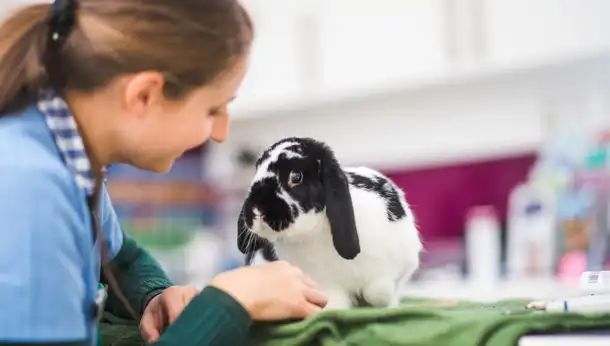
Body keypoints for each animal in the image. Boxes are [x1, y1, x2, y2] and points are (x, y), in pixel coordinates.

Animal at [235, 137, 420, 310]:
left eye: (296, 177)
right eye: (256, 171)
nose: (257, 211)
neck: (314, 233)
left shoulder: (396, 266)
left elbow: (380, 291)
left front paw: (375, 299)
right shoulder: (324, 284)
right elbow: (334, 303)